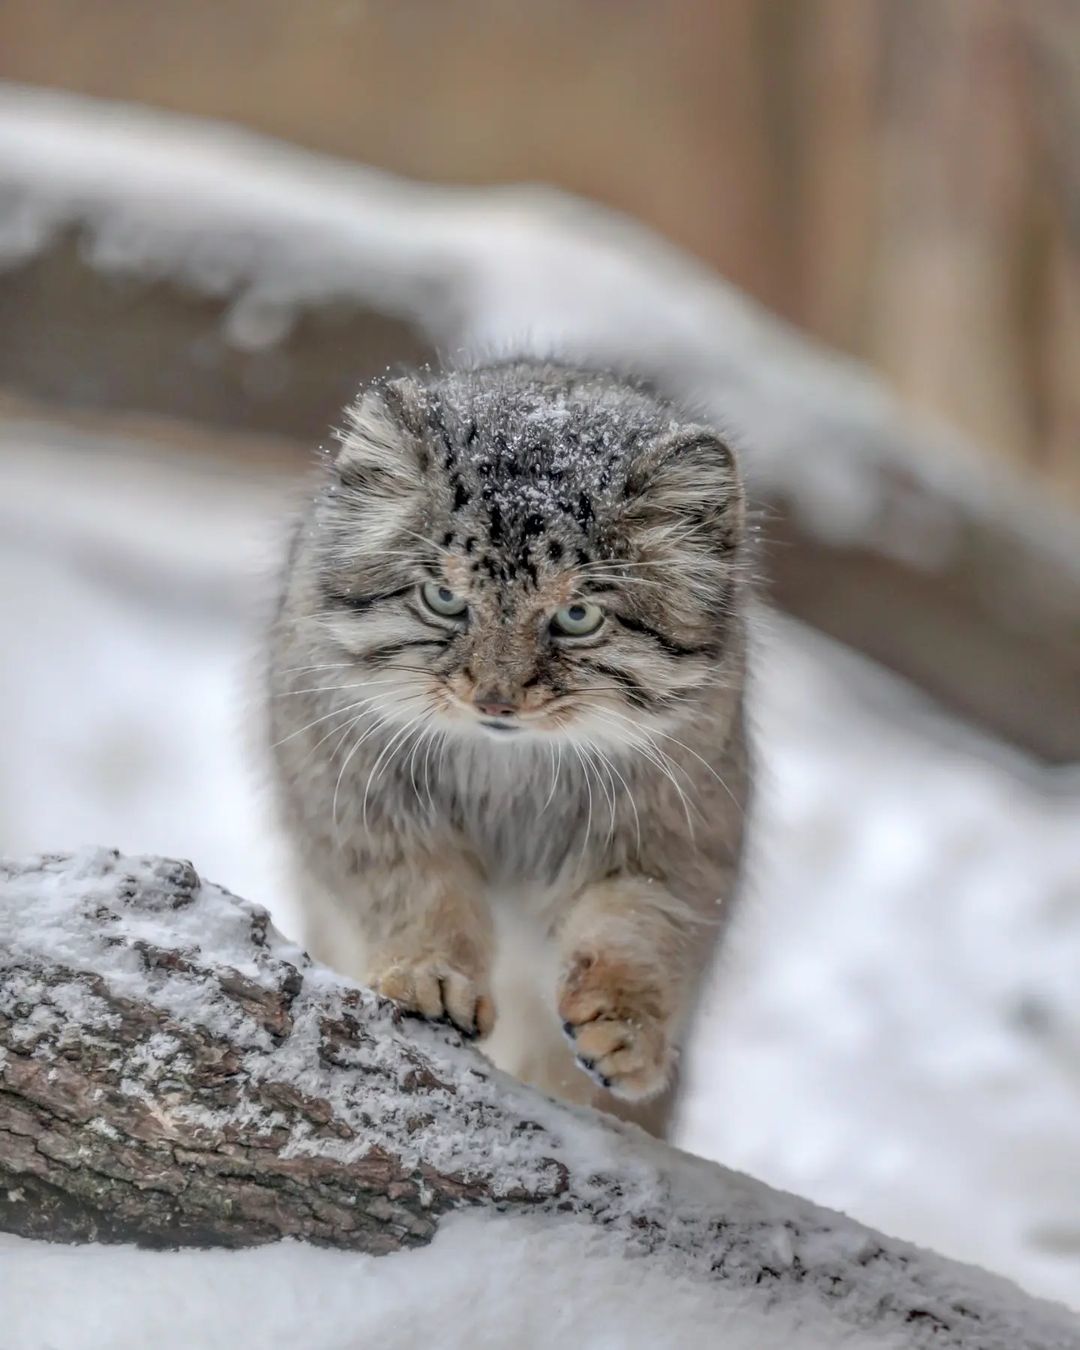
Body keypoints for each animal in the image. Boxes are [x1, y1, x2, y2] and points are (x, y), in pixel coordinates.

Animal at [265, 359, 750, 1139]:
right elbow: (421, 888)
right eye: (444, 599)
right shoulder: (351, 789)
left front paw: (626, 1027)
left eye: (577, 616)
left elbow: (641, 925)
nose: (495, 699)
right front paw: (432, 975)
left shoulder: (680, 831)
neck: (509, 774)